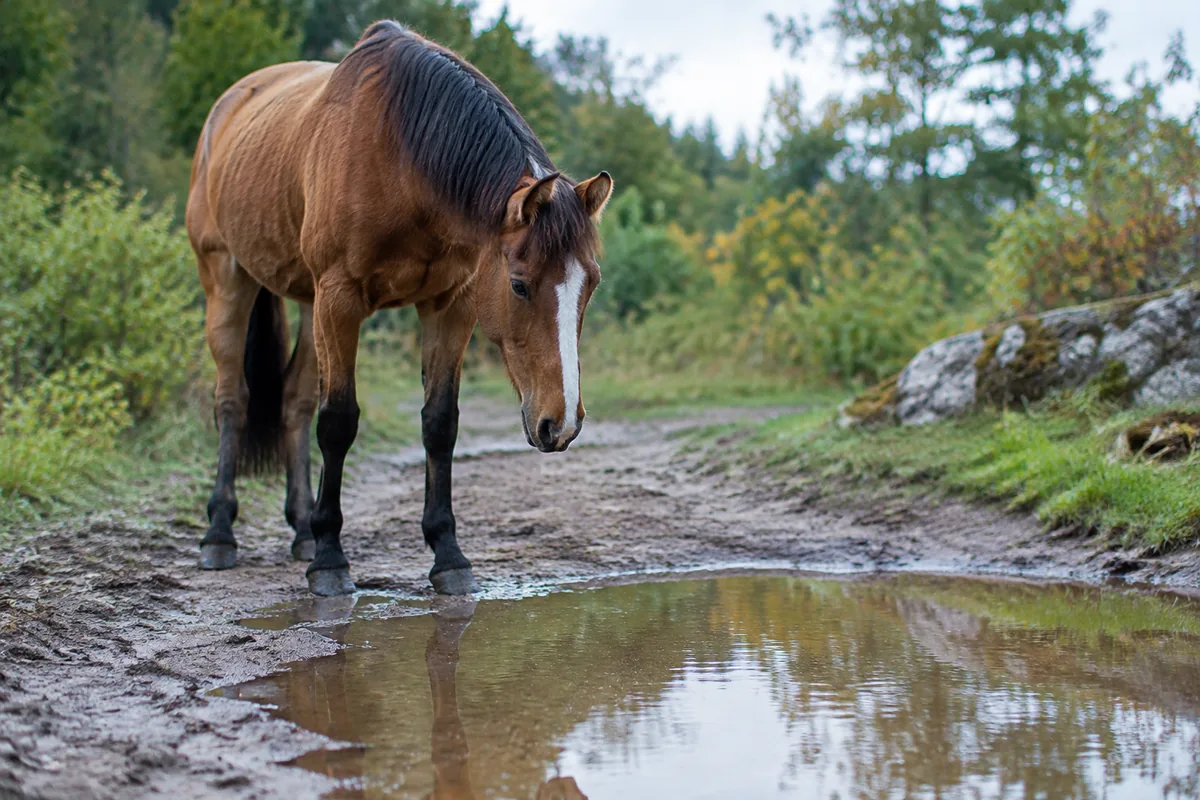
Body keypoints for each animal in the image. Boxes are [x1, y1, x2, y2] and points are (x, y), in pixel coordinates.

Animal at [185, 20, 612, 596]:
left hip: (306, 304)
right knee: (233, 400)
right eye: (520, 286)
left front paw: (448, 554)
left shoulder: (450, 305)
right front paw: (331, 560)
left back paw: (302, 528)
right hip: (228, 279)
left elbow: (440, 423)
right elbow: (338, 422)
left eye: (590, 285)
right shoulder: (340, 299)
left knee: (293, 403)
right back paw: (220, 533)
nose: (560, 423)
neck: (400, 159)